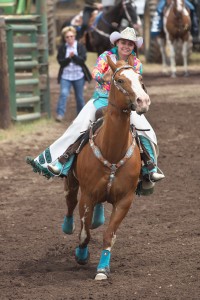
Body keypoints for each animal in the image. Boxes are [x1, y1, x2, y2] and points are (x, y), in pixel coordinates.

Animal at [62, 54, 150, 282]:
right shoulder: (87, 196)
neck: (112, 152)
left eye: (140, 78)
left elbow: (109, 235)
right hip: (72, 182)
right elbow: (84, 234)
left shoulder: (125, 200)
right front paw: (81, 255)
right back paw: (67, 226)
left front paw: (102, 269)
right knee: (70, 202)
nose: (143, 101)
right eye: (119, 80)